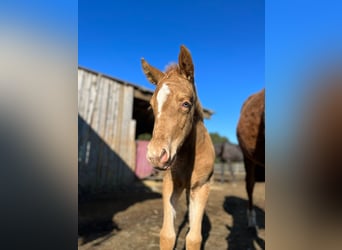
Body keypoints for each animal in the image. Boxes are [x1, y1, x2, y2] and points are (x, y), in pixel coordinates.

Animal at [141, 45, 214, 250]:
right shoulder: (170, 185)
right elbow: (167, 235)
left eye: (186, 103)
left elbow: (194, 238)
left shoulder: (202, 187)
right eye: (151, 106)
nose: (156, 156)